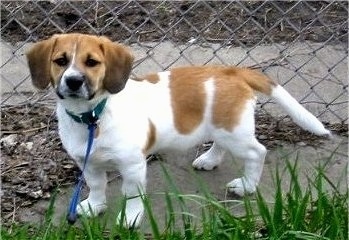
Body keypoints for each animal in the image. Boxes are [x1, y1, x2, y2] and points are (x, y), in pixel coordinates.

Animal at [26, 33, 328, 227]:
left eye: (92, 62)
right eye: (61, 60)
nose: (73, 81)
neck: (93, 117)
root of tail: (233, 71)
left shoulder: (133, 167)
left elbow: (131, 195)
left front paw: (130, 218)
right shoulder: (87, 162)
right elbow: (97, 185)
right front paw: (94, 206)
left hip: (236, 133)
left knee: (258, 152)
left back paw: (247, 185)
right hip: (221, 128)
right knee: (220, 144)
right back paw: (209, 159)